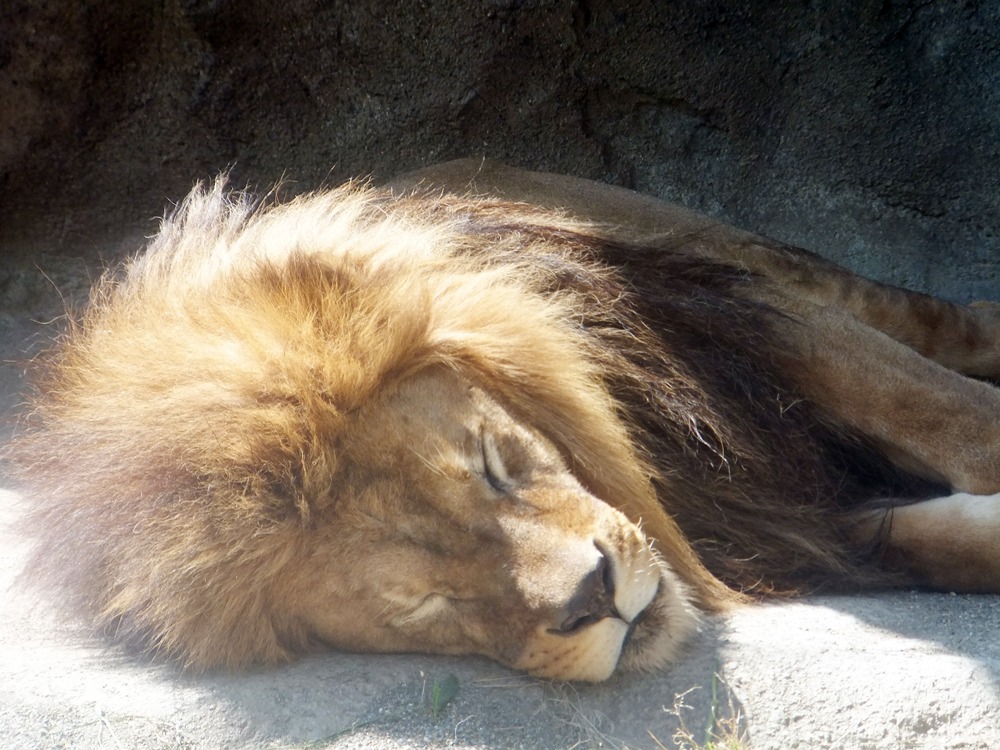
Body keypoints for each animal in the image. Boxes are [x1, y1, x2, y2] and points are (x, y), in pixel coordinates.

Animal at [6, 159, 1000, 682]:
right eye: (423, 604)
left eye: (494, 463)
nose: (594, 598)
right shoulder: (784, 526)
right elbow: (941, 546)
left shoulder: (736, 326)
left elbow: (944, 412)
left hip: (726, 251)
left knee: (915, 316)